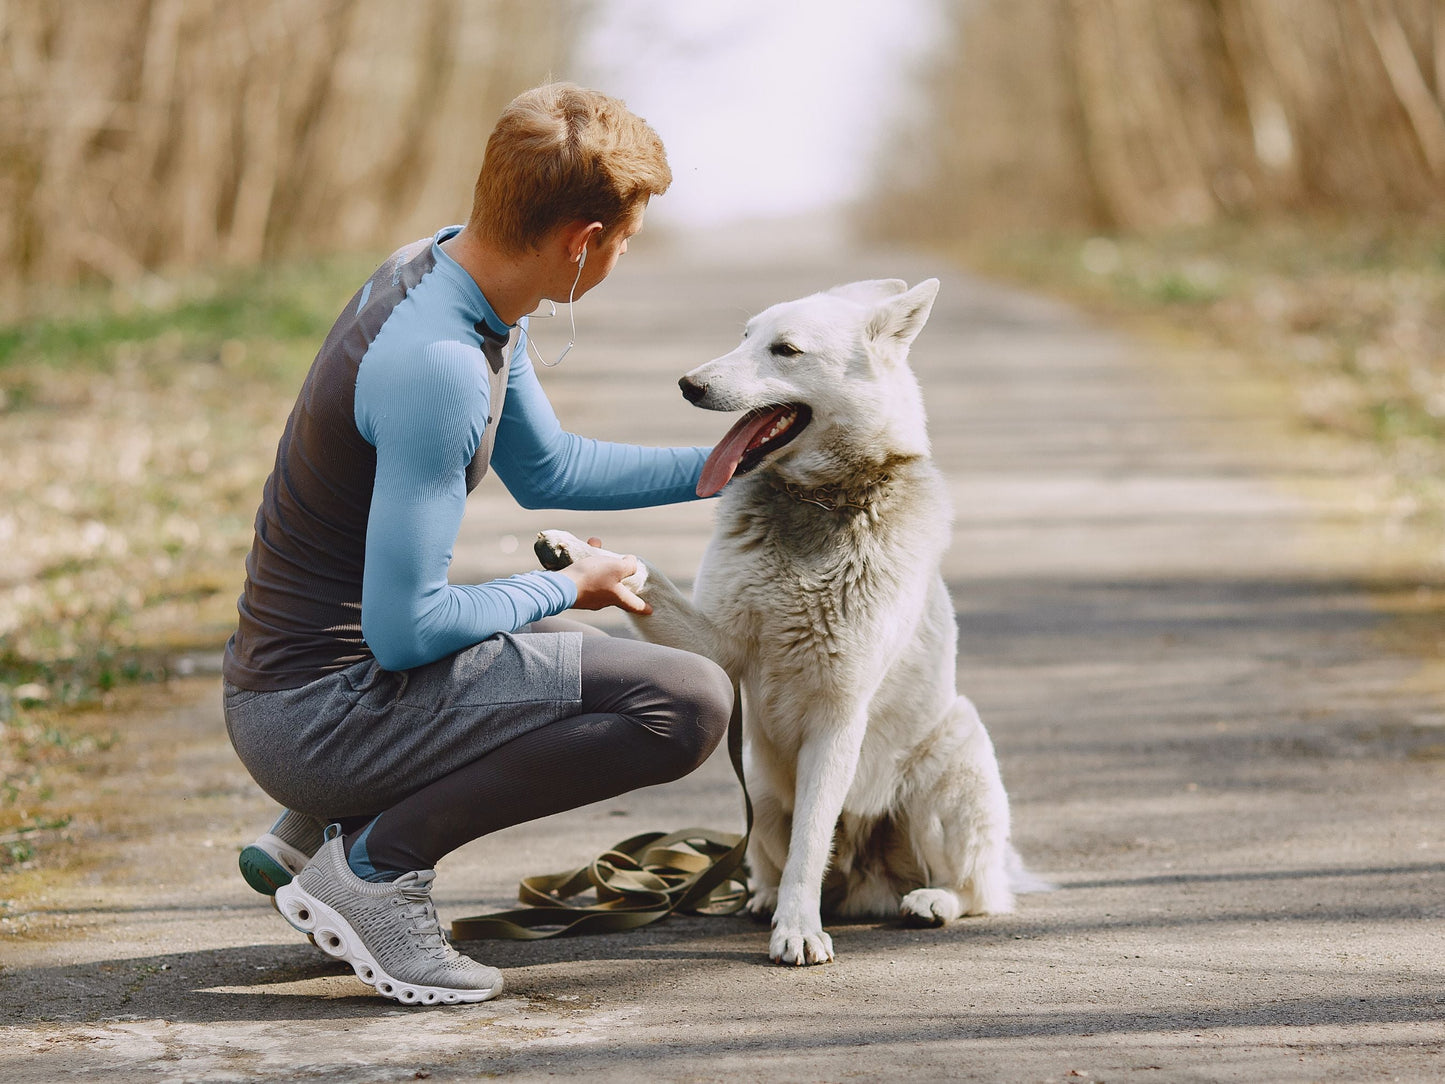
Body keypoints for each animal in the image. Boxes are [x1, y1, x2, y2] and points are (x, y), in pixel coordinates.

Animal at [537, 277, 1034, 965]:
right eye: (744, 335)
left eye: (786, 350)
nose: (688, 384)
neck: (819, 501)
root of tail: (868, 885)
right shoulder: (720, 646)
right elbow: (644, 576)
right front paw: (580, 557)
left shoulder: (838, 714)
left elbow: (811, 843)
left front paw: (799, 929)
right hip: (763, 788)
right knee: (763, 858)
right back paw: (763, 896)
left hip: (954, 761)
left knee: (980, 889)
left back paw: (931, 901)